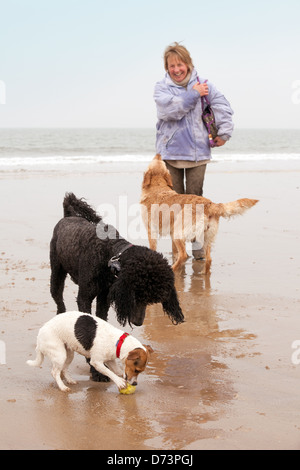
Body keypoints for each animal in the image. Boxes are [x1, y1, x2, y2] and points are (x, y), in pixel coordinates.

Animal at [50, 193, 184, 328]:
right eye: (136, 295)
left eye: (149, 300)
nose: (138, 323)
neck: (110, 254)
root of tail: (68, 216)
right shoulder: (84, 297)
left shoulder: (104, 296)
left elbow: (101, 316)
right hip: (56, 274)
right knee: (59, 300)